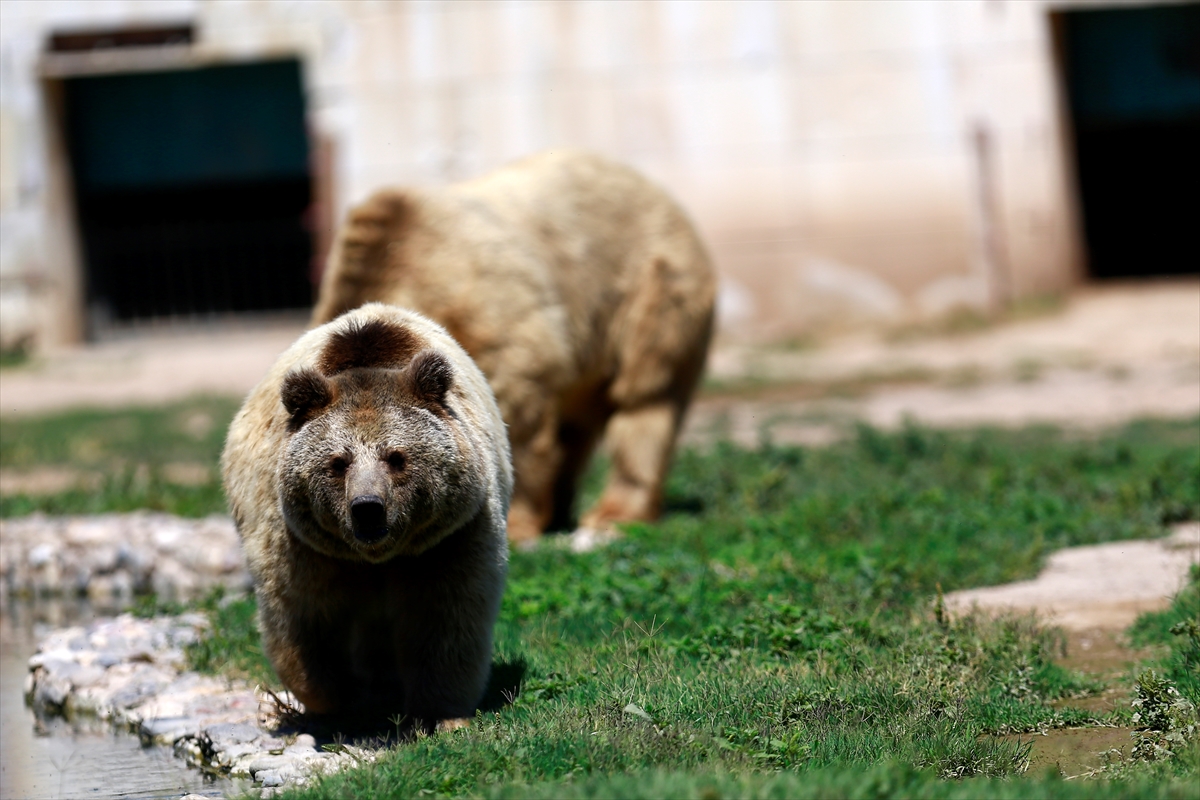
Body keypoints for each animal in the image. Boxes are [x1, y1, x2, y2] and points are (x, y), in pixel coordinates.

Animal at [220, 302, 511, 724]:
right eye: (338, 462)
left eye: (397, 457)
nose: (368, 508)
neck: (376, 556)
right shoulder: (300, 543)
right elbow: (306, 618)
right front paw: (334, 700)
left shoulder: (451, 535)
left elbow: (445, 614)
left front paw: (440, 710)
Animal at [314, 149, 715, 544]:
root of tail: (659, 191)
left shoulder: (492, 309)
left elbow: (514, 409)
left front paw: (513, 521)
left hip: (650, 288)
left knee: (645, 399)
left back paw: (612, 516)